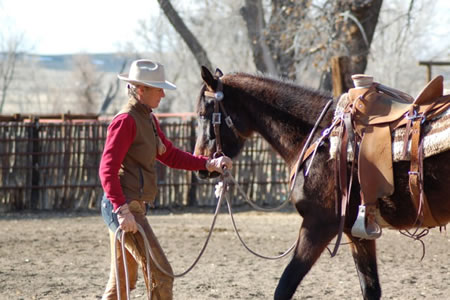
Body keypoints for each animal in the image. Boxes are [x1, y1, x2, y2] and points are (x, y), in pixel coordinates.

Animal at [192, 67, 450, 300]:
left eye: (204, 113)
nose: (203, 164)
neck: (317, 138)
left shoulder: (318, 225)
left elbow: (284, 287)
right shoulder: (357, 232)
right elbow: (370, 289)